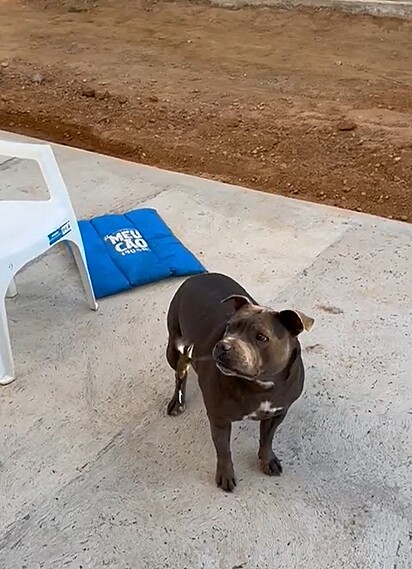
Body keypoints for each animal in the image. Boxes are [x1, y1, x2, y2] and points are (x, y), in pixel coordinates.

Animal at [164, 272, 312, 490]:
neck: (260, 386)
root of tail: (199, 275)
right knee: (180, 372)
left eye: (261, 337)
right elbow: (223, 449)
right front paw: (225, 474)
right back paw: (178, 401)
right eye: (229, 327)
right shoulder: (219, 419)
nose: (222, 346)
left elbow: (267, 439)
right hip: (174, 346)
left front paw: (267, 460)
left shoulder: (278, 413)